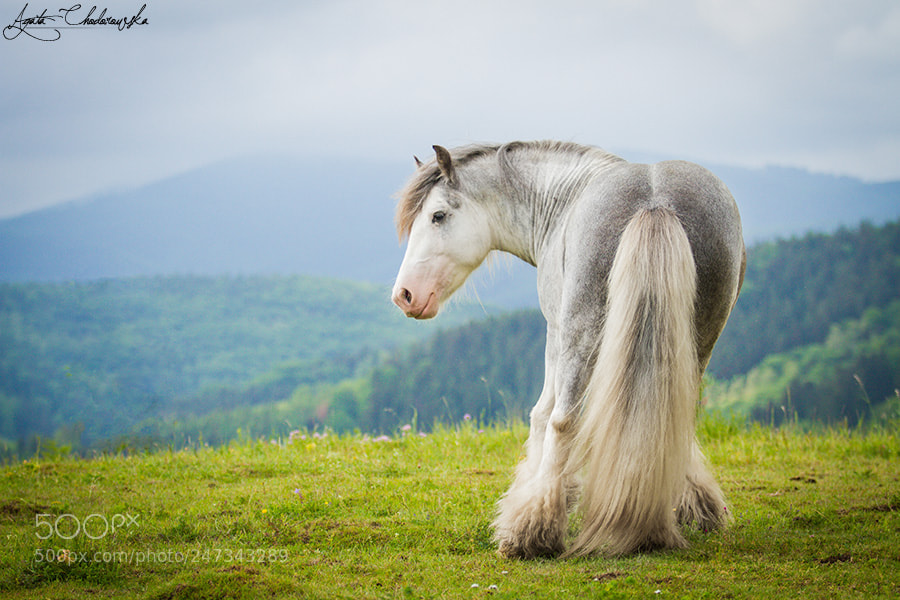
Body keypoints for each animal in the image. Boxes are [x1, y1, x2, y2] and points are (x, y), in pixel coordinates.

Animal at [390, 141, 745, 558]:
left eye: (438, 215)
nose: (404, 294)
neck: (559, 200)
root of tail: (655, 204)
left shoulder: (555, 331)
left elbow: (543, 416)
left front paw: (536, 492)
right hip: (700, 335)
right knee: (680, 413)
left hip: (581, 329)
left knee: (565, 420)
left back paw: (530, 533)